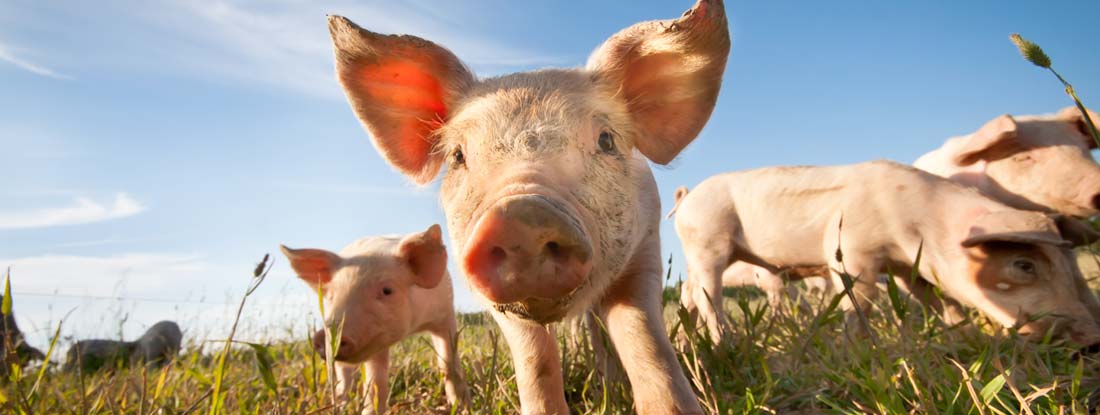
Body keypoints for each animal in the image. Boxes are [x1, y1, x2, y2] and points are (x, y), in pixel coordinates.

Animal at [280, 225, 468, 415]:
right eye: (331, 296)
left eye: (387, 290)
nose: (324, 335)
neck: (413, 327)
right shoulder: (376, 342)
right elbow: (375, 383)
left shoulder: (445, 314)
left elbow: (448, 363)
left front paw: (462, 406)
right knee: (344, 378)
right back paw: (341, 405)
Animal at [326, 0, 729, 412]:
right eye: (457, 156)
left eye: (606, 140)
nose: (520, 215)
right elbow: (535, 362)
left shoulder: (644, 251)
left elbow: (645, 340)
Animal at [672, 160, 1100, 346]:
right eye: (1023, 265)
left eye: (1069, 267)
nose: (1091, 337)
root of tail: (688, 196)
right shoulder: (850, 252)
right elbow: (860, 298)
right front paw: (855, 345)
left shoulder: (907, 267)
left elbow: (934, 298)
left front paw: (958, 331)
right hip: (707, 241)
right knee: (709, 295)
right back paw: (722, 341)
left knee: (688, 294)